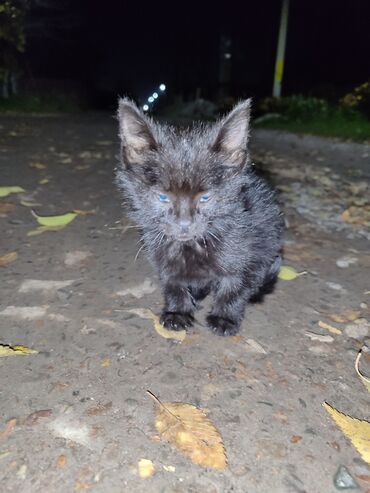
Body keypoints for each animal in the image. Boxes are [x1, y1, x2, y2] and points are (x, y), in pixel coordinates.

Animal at [116, 97, 284, 334]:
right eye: (162, 197)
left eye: (205, 198)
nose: (184, 224)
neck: (191, 246)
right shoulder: (160, 250)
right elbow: (172, 281)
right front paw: (178, 312)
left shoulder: (247, 250)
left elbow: (235, 286)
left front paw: (224, 318)